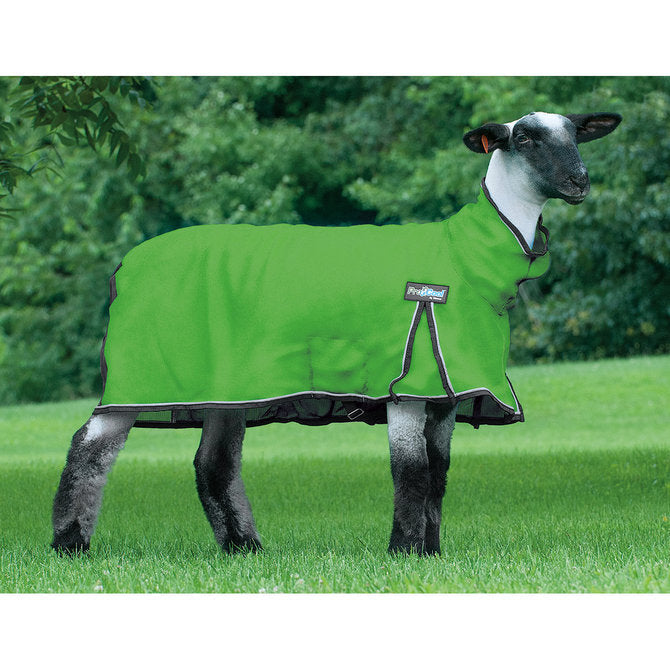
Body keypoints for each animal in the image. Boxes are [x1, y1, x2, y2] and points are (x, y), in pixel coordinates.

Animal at [51, 111, 622, 556]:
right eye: (524, 139)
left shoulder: (447, 388)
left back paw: (244, 548)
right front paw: (404, 552)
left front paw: (433, 552)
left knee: (213, 463)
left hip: (230, 384)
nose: (580, 182)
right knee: (89, 448)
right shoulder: (408, 381)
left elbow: (439, 474)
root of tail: (124, 267)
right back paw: (69, 545)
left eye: (576, 133)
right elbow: (412, 472)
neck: (466, 255)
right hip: (138, 374)